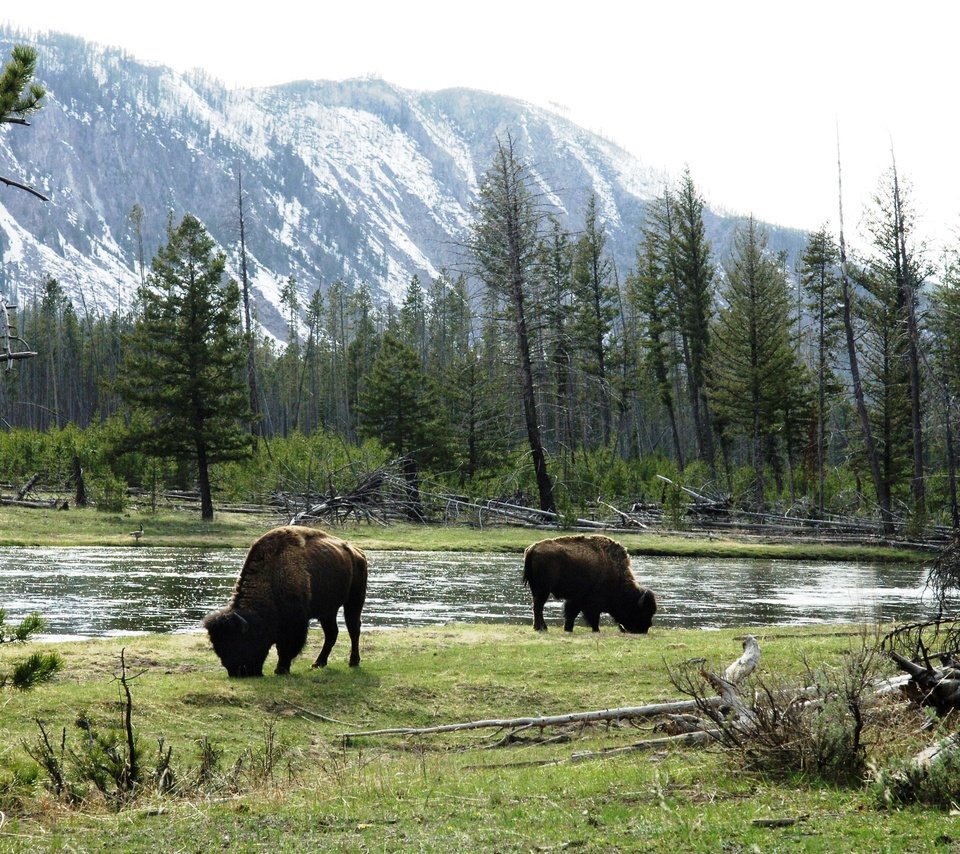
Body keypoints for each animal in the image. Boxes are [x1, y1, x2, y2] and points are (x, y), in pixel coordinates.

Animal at [202, 524, 368, 680]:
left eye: (240, 643)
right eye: (218, 648)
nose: (237, 673)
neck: (271, 577)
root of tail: (358, 553)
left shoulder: (294, 623)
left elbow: (286, 647)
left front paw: (281, 669)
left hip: (354, 601)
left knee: (353, 629)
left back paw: (353, 662)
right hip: (327, 611)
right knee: (332, 633)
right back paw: (318, 663)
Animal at [520, 536, 656, 636]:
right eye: (641, 611)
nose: (644, 630)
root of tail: (532, 548)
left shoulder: (576, 599)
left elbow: (571, 613)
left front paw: (568, 628)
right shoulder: (591, 603)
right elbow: (592, 617)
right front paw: (597, 630)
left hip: (536, 588)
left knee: (537, 606)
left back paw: (542, 627)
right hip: (543, 590)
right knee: (538, 606)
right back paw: (540, 628)